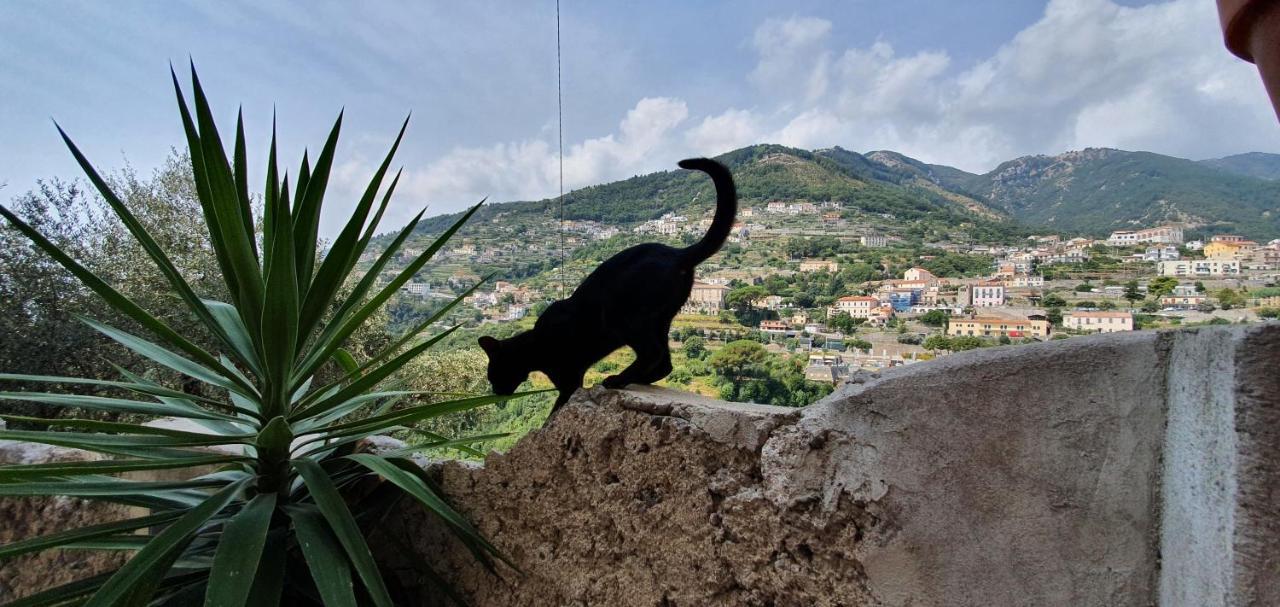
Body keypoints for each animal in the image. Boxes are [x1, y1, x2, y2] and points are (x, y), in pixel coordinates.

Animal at [481, 156, 742, 414]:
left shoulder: (570, 380)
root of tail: (677, 253)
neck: (535, 345)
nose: (496, 391)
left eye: (492, 375)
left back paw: (617, 379)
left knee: (653, 353)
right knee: (664, 362)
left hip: (625, 318)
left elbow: (556, 409)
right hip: (659, 319)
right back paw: (636, 379)